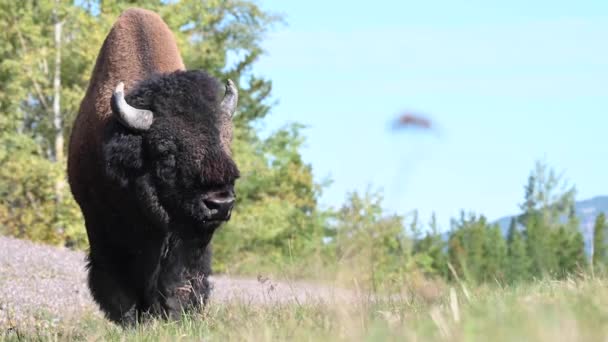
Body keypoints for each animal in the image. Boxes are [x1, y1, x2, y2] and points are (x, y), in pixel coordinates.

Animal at [66, 7, 238, 324]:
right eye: (165, 150)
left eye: (224, 141)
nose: (220, 203)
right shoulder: (103, 229)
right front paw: (132, 319)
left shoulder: (188, 236)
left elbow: (182, 275)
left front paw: (178, 313)